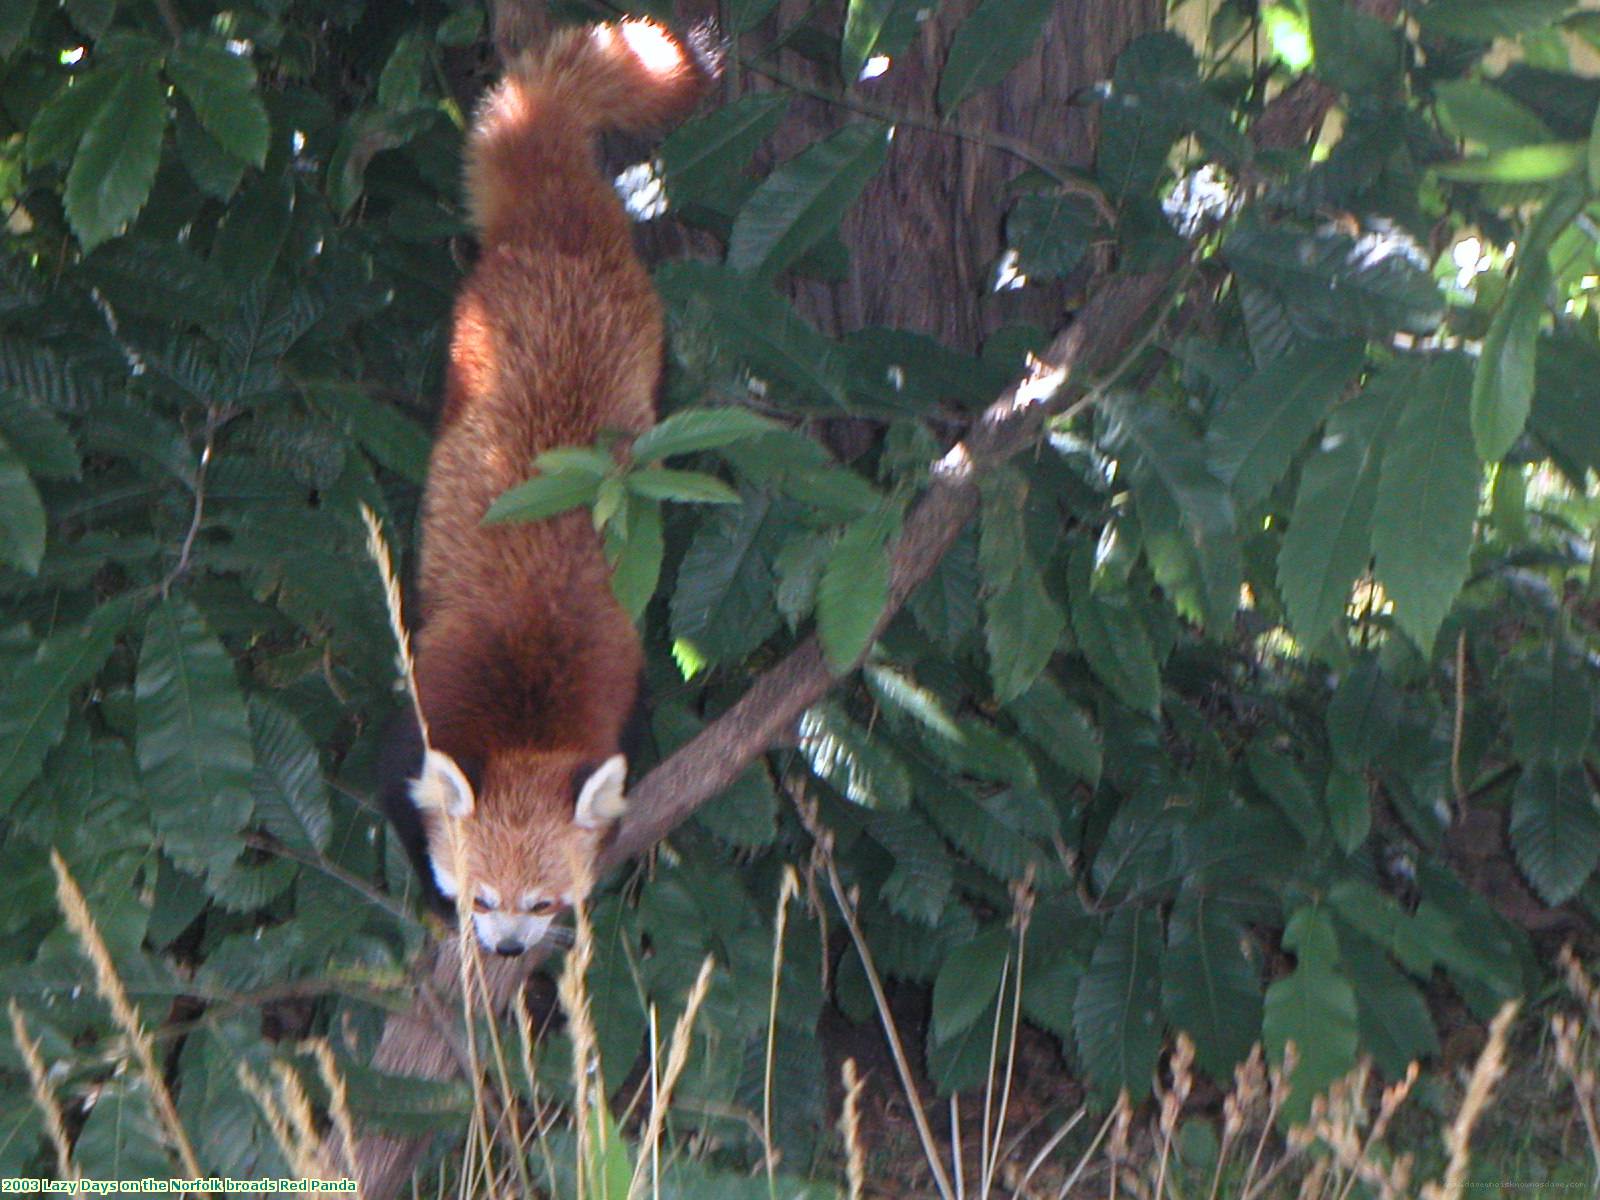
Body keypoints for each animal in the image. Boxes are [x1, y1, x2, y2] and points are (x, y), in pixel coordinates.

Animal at [380, 16, 713, 960]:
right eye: (482, 897)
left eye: (541, 902)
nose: (505, 950)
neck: (526, 723)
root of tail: (560, 230)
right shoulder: (427, 703)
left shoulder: (617, 693)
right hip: (472, 343)